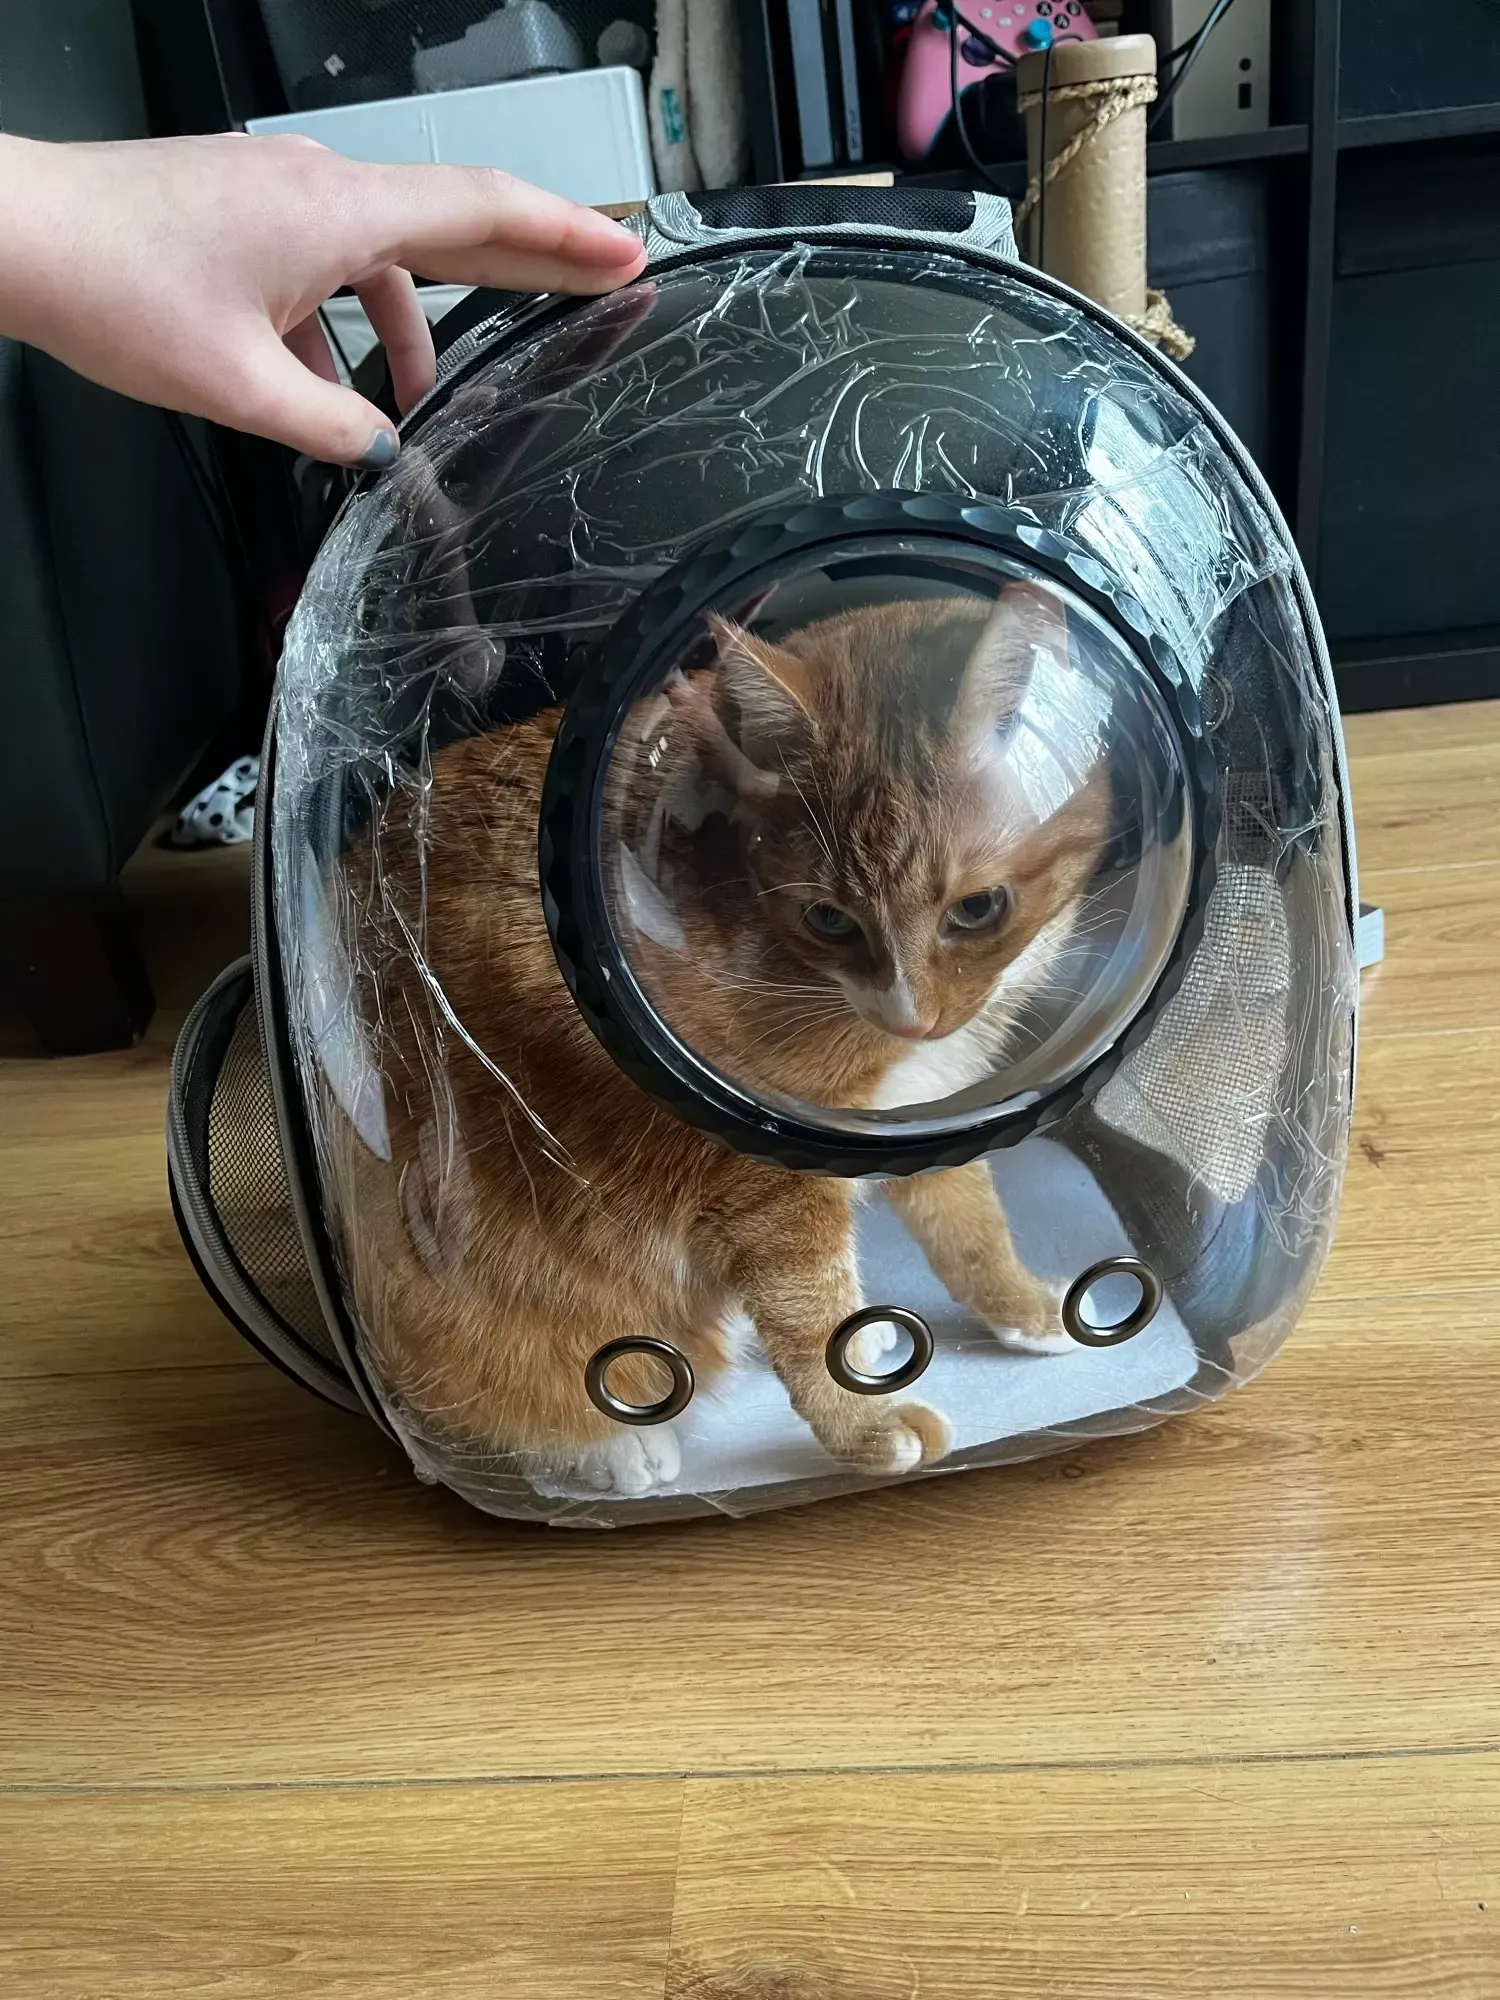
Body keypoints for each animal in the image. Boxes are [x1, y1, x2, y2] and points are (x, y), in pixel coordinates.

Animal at [334, 581, 1110, 1498]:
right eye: (828, 918)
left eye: (979, 907)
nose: (908, 1016)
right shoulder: (767, 1185)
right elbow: (810, 1316)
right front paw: (866, 1426)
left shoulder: (923, 1118)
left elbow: (973, 1233)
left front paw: (1025, 1309)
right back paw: (610, 1447)